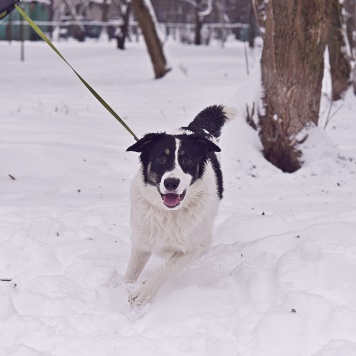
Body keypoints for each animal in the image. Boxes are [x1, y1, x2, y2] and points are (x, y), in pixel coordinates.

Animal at [124, 104, 235, 308]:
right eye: (161, 158)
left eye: (186, 160)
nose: (171, 183)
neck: (169, 213)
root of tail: (196, 128)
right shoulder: (142, 239)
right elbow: (130, 274)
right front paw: (118, 290)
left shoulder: (197, 247)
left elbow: (167, 268)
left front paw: (143, 292)